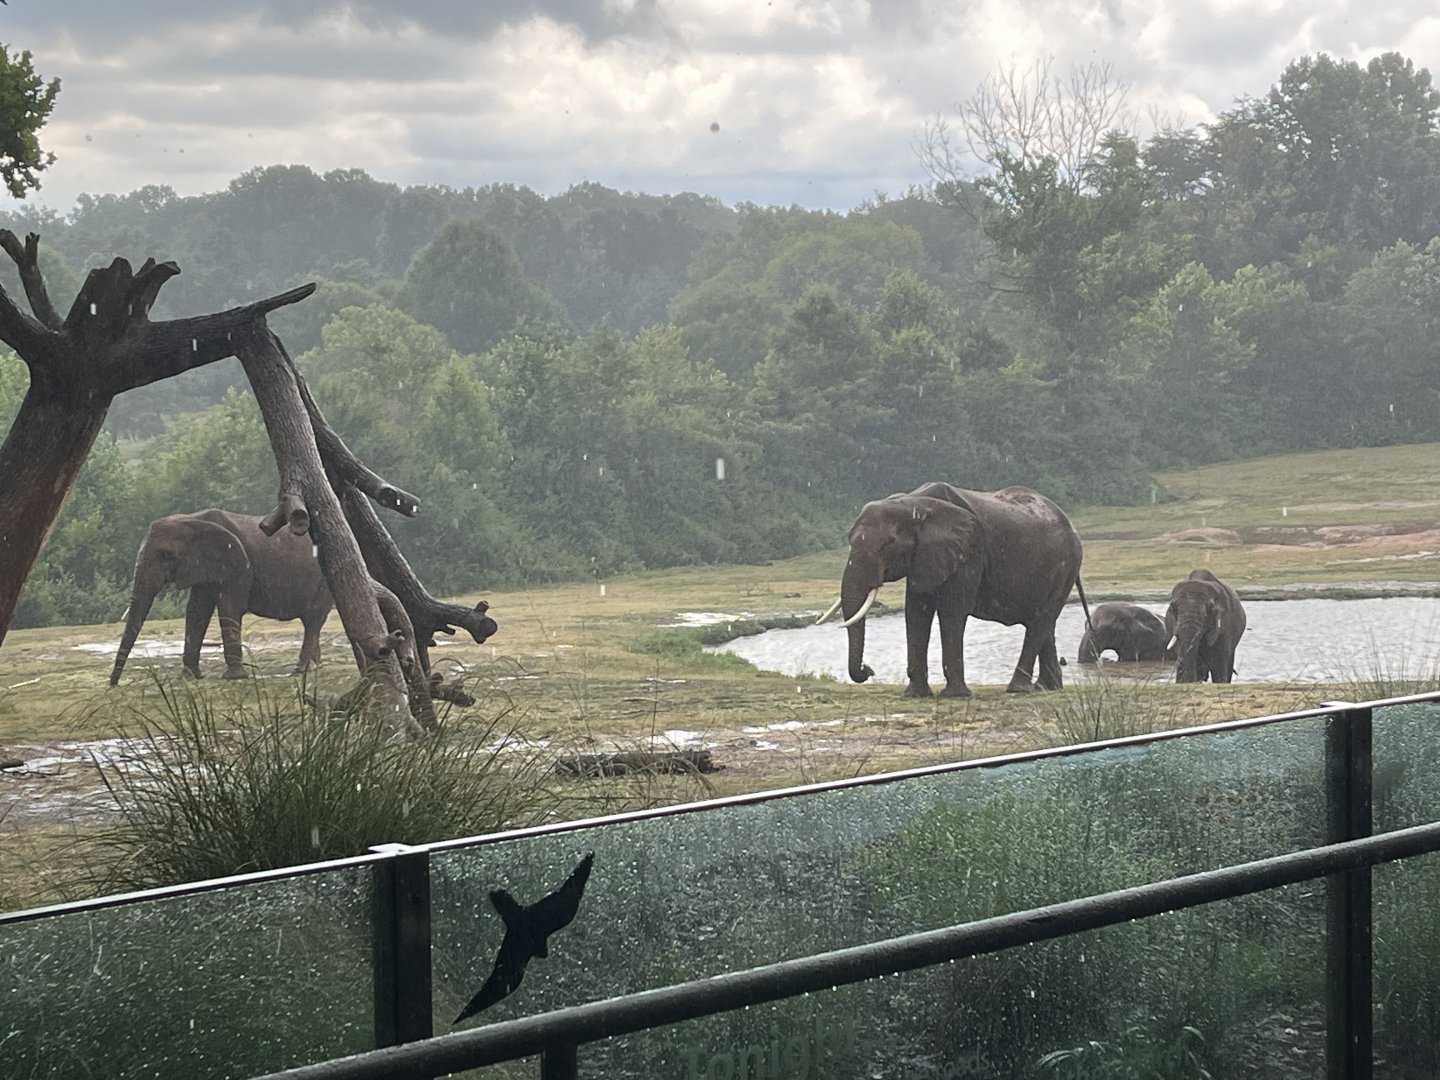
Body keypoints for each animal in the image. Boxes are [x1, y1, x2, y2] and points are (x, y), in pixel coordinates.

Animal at [110, 509, 334, 685]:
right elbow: (196, 611)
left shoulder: (237, 565)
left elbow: (229, 608)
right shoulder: (203, 567)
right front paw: (189, 676)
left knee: (313, 620)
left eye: (166, 555)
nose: (113, 683)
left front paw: (233, 677)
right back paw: (315, 666)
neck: (191, 519)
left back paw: (301, 670)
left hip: (324, 581)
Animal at [816, 482, 1089, 697]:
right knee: (1045, 625)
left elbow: (952, 610)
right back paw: (1046, 688)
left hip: (1067, 564)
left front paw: (955, 695)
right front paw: (915, 695)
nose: (869, 669)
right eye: (849, 538)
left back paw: (1017, 689)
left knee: (1041, 621)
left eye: (888, 544)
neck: (914, 503)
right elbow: (916, 612)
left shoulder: (969, 551)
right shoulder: (924, 557)